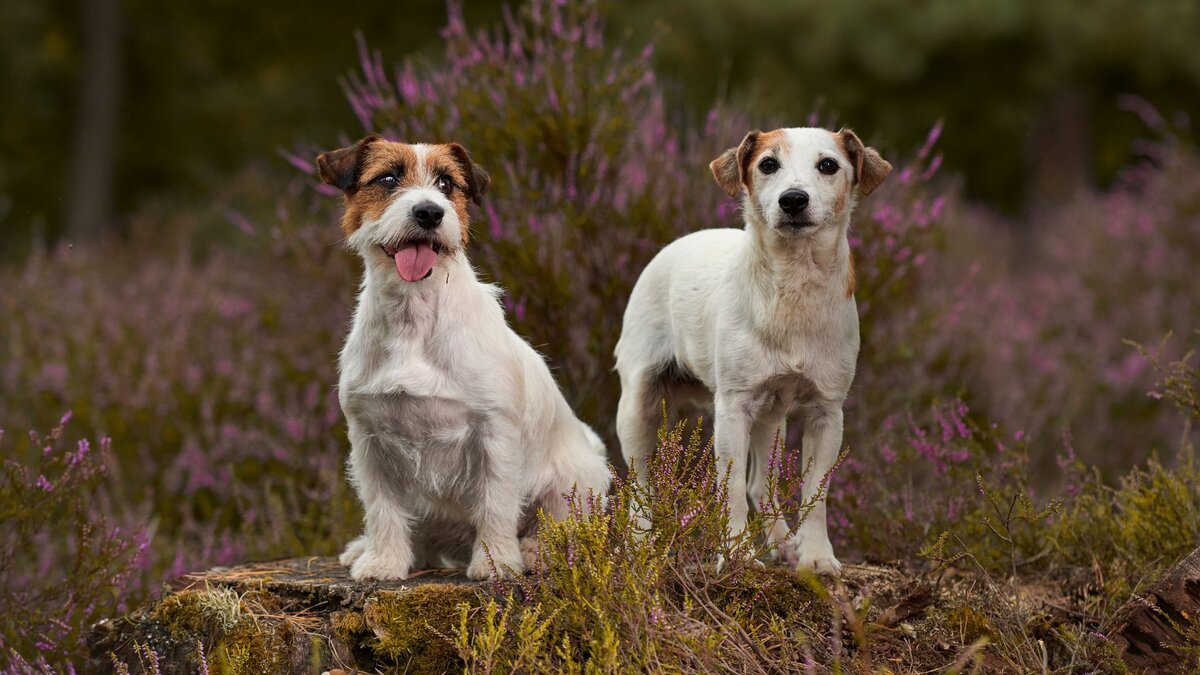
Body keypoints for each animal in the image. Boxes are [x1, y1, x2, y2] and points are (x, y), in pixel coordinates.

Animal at [319, 132, 609, 578]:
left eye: (446, 184)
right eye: (387, 178)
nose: (429, 213)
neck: (414, 315)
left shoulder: (494, 435)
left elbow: (496, 504)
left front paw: (496, 562)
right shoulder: (370, 440)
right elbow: (383, 509)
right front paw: (383, 562)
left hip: (575, 484)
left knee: (564, 526)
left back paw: (537, 551)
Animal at [619, 127, 892, 571]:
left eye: (828, 165)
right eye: (767, 164)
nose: (793, 199)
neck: (793, 287)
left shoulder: (826, 413)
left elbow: (816, 493)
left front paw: (816, 555)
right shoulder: (733, 410)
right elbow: (729, 490)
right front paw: (736, 555)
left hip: (771, 420)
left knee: (759, 484)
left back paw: (782, 541)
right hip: (637, 406)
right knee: (641, 483)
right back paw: (641, 542)